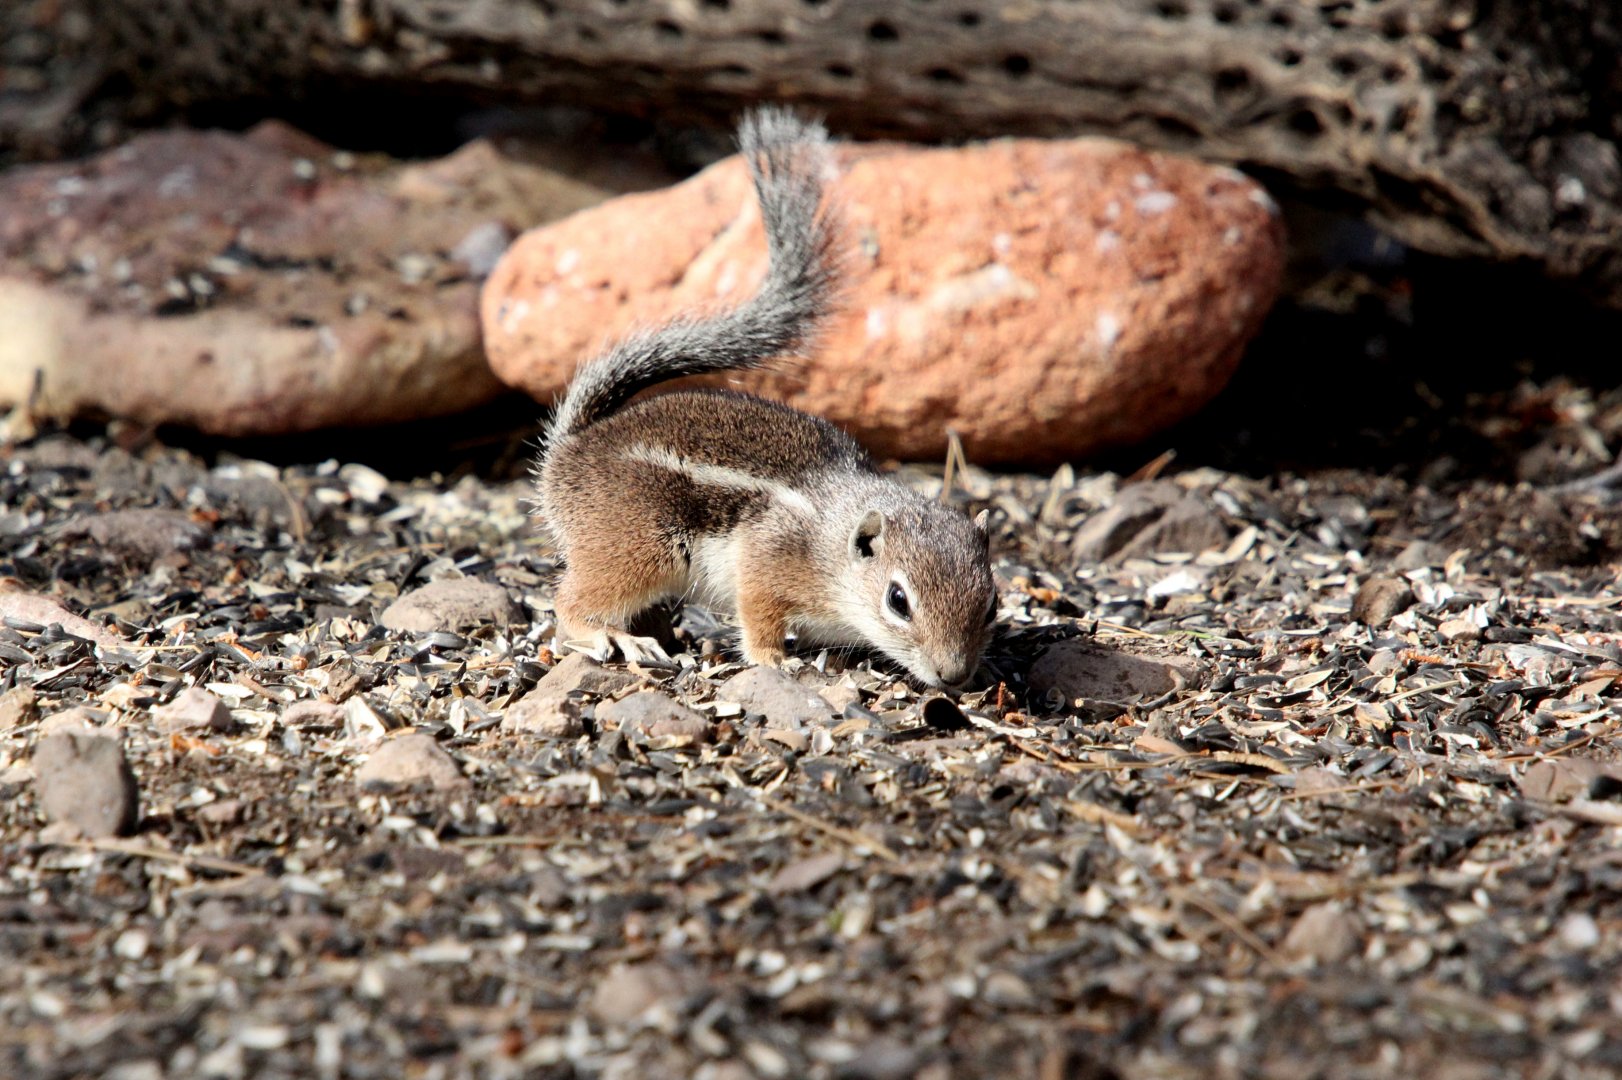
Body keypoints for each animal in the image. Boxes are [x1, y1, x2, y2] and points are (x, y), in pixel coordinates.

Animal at [534, 108, 996, 689]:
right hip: (638, 546)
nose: (954, 676)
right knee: (570, 603)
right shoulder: (764, 563)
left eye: (992, 604)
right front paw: (776, 660)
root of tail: (572, 442)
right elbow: (758, 616)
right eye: (898, 600)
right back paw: (616, 638)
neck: (832, 543)